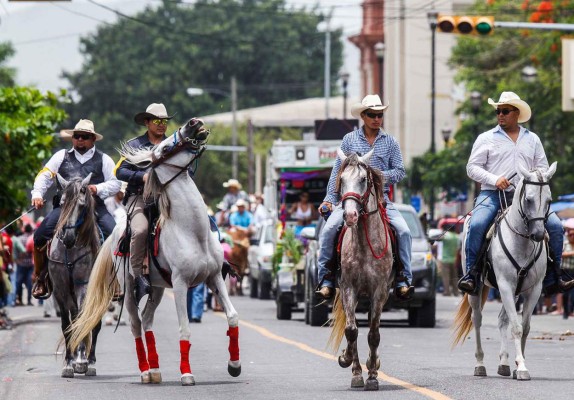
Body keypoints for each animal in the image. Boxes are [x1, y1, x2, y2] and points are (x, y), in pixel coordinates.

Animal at [49, 173, 102, 378]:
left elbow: (83, 319)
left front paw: (81, 361)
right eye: (62, 203)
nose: (68, 237)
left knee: (95, 322)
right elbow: (67, 324)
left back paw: (91, 361)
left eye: (81, 205)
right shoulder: (61, 290)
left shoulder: (84, 286)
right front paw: (68, 363)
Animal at [328, 149, 396, 390]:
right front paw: (351, 365)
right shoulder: (349, 289)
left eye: (363, 179)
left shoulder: (380, 291)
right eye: (341, 179)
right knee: (354, 327)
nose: (350, 215)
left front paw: (373, 376)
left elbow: (374, 334)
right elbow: (351, 330)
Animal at [454, 162, 560, 382]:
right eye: (528, 200)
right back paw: (480, 364)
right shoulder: (504, 285)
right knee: (477, 320)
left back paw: (503, 363)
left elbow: (525, 328)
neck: (522, 242)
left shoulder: (533, 290)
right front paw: (522, 368)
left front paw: (519, 365)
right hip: (477, 290)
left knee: (502, 319)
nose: (538, 234)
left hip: (514, 292)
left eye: (549, 200)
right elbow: (516, 327)